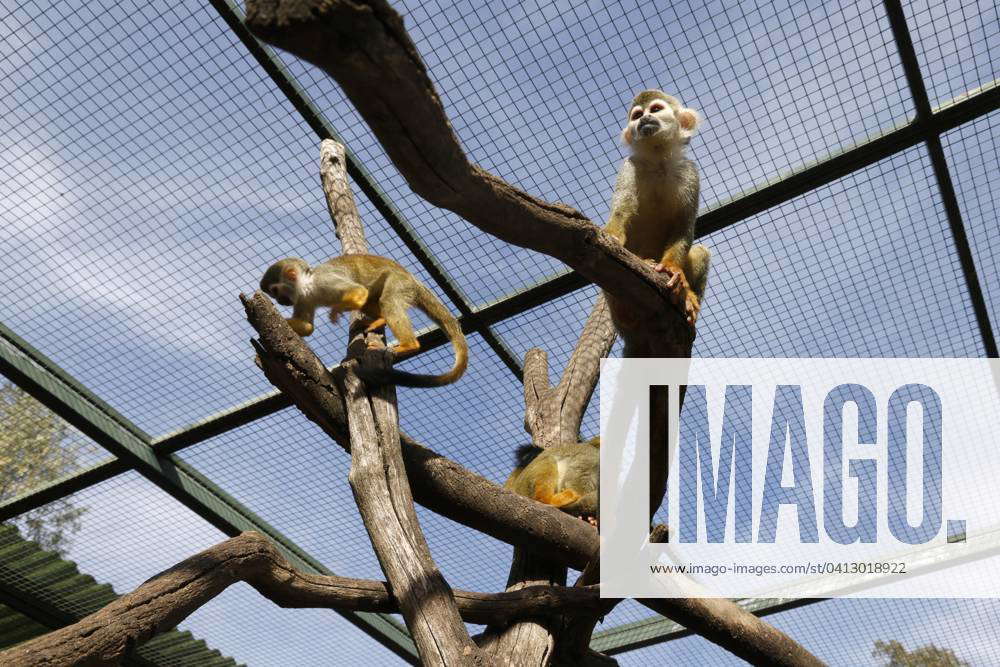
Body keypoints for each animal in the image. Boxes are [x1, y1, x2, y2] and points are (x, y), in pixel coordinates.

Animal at [262, 258, 472, 388]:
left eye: (275, 291)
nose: (280, 301)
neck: (308, 286)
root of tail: (414, 280)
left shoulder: (325, 280)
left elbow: (358, 292)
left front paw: (336, 310)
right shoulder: (302, 298)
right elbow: (307, 327)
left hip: (401, 283)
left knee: (386, 298)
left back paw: (408, 345)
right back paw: (380, 319)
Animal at [600, 88, 712, 328]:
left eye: (656, 109)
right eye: (637, 115)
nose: (644, 119)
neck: (658, 159)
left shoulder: (690, 172)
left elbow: (684, 226)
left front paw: (672, 269)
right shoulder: (629, 166)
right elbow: (622, 209)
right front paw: (612, 236)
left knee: (701, 252)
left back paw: (688, 297)